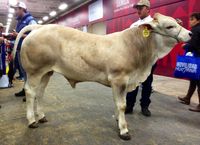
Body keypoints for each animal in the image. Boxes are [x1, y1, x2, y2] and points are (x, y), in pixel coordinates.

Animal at [13, 13, 191, 140]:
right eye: (169, 26)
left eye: (178, 22)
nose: (190, 33)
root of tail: (39, 27)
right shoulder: (119, 79)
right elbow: (122, 105)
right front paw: (124, 130)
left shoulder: (121, 83)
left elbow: (118, 103)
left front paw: (118, 121)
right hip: (34, 72)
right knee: (30, 92)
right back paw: (32, 121)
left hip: (46, 72)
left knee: (40, 93)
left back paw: (42, 117)